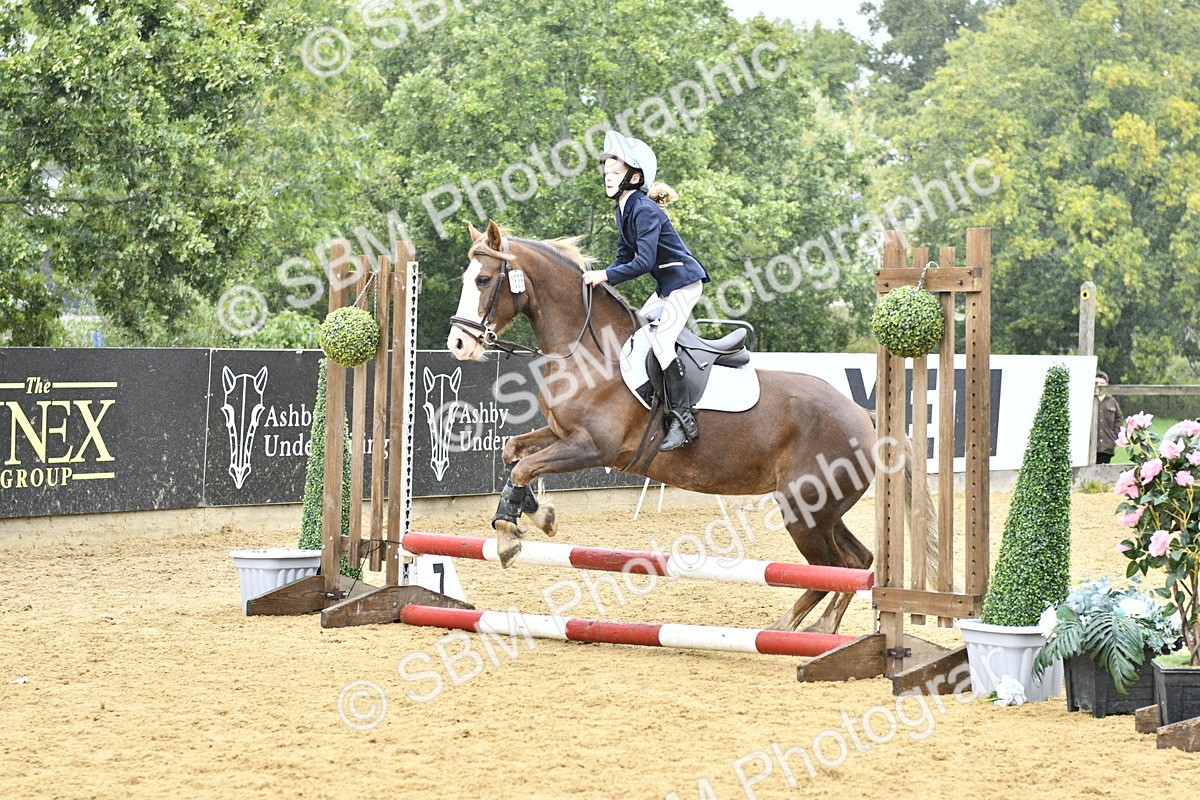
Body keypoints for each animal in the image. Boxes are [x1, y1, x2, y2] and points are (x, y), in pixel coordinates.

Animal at [445, 220, 936, 634]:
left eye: (484, 280)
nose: (458, 344)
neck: (588, 349)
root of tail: (866, 417)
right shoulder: (562, 436)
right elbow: (513, 454)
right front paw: (535, 513)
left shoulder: (594, 447)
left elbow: (524, 467)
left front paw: (508, 536)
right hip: (821, 509)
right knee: (857, 560)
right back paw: (816, 628)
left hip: (806, 509)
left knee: (835, 566)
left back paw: (798, 630)